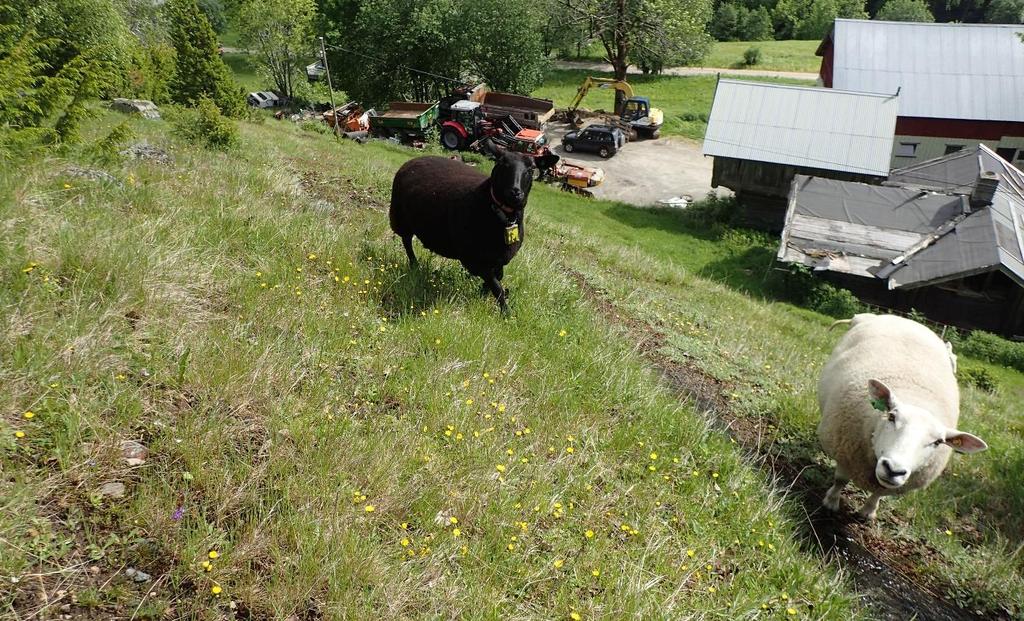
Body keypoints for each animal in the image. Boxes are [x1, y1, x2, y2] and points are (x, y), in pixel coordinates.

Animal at [389, 150, 536, 311]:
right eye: (502, 164)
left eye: (530, 169)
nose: (515, 192)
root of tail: (417, 158)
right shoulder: (475, 260)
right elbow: (497, 286)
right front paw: (506, 312)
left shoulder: (499, 257)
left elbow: (498, 277)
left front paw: (483, 293)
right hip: (401, 217)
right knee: (407, 241)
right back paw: (415, 265)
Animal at [815, 313, 983, 522]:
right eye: (891, 417)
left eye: (938, 442)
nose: (893, 469)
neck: (917, 398)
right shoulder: (845, 452)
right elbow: (840, 480)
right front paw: (831, 502)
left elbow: (880, 493)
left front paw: (868, 511)